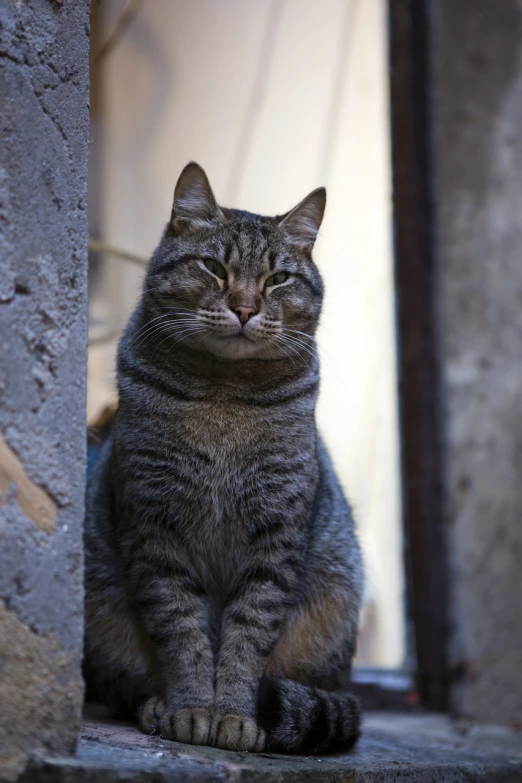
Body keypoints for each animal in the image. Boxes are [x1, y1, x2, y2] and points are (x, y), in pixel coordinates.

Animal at [84, 162, 362, 756]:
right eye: (214, 267)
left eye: (278, 278)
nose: (245, 307)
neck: (224, 395)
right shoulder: (154, 524)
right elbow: (182, 629)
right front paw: (192, 707)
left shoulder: (275, 533)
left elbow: (246, 636)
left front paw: (233, 715)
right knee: (123, 686)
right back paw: (156, 705)